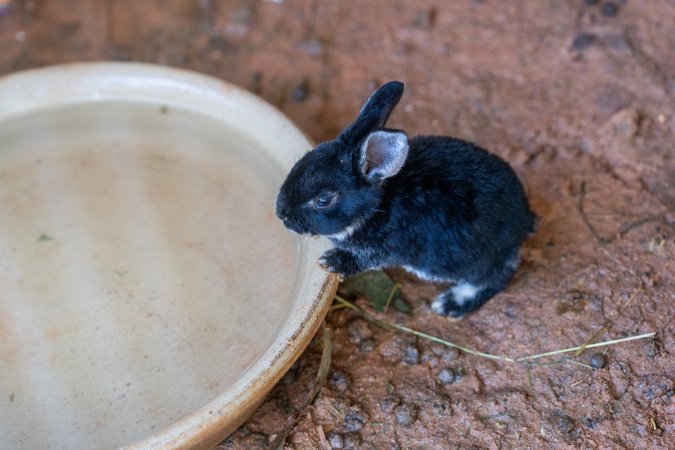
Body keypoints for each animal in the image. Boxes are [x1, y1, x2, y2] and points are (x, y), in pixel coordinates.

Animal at [276, 81, 536, 318]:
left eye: (323, 200)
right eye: (302, 162)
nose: (282, 213)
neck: (379, 206)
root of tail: (525, 219)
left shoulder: (388, 248)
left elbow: (365, 259)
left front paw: (331, 262)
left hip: (480, 259)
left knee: (496, 277)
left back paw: (451, 304)